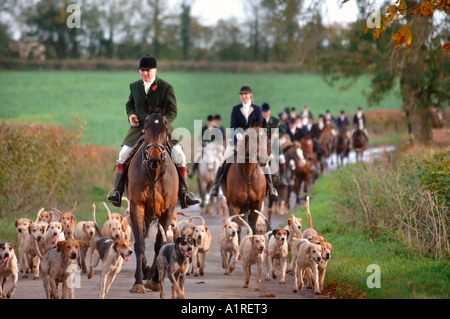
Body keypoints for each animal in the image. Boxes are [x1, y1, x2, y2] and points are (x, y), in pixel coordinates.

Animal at [125, 108, 178, 296]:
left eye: (165, 127)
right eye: (146, 127)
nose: (155, 158)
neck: (154, 173)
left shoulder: (167, 211)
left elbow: (159, 244)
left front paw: (154, 281)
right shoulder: (136, 207)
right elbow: (140, 243)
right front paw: (138, 282)